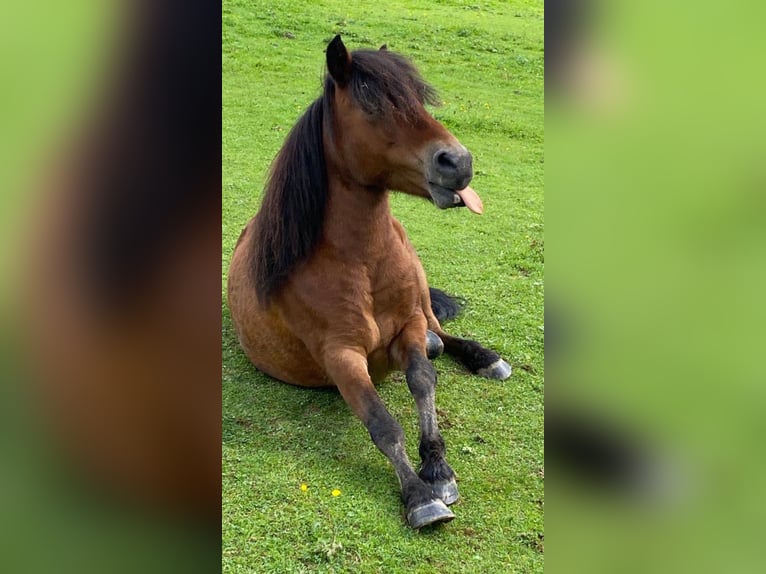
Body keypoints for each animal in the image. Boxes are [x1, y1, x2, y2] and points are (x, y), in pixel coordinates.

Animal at [231, 36, 512, 532]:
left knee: (441, 332)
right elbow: (382, 422)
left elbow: (422, 380)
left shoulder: (408, 328)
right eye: (373, 105)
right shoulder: (341, 356)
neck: (359, 262)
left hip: (421, 287)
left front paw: (438, 467)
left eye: (419, 98)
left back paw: (483, 357)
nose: (458, 162)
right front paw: (420, 496)